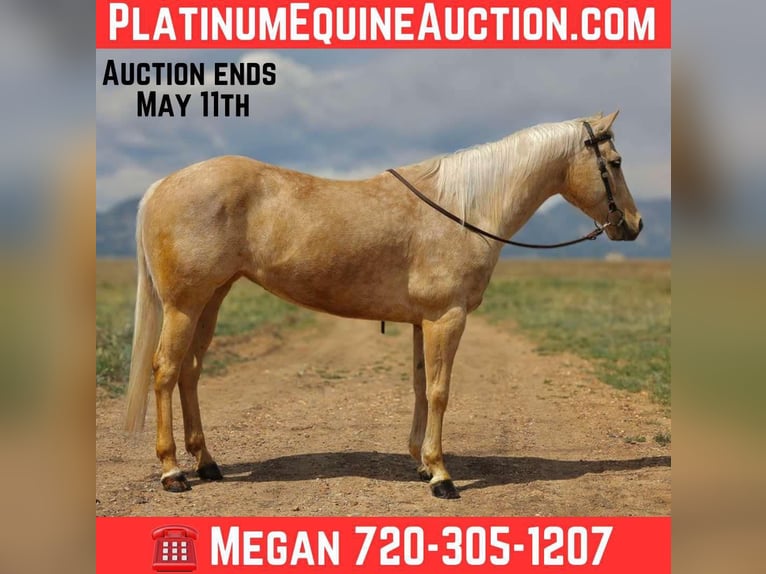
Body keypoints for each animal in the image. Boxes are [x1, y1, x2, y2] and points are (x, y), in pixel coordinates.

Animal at [124, 111, 642, 499]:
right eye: (614, 161)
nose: (634, 225)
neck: (464, 210)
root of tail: (162, 184)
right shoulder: (446, 318)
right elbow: (439, 391)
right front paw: (441, 476)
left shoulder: (421, 322)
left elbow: (419, 387)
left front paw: (421, 463)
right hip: (184, 305)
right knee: (165, 371)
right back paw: (173, 472)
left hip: (211, 299)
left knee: (190, 372)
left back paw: (207, 463)